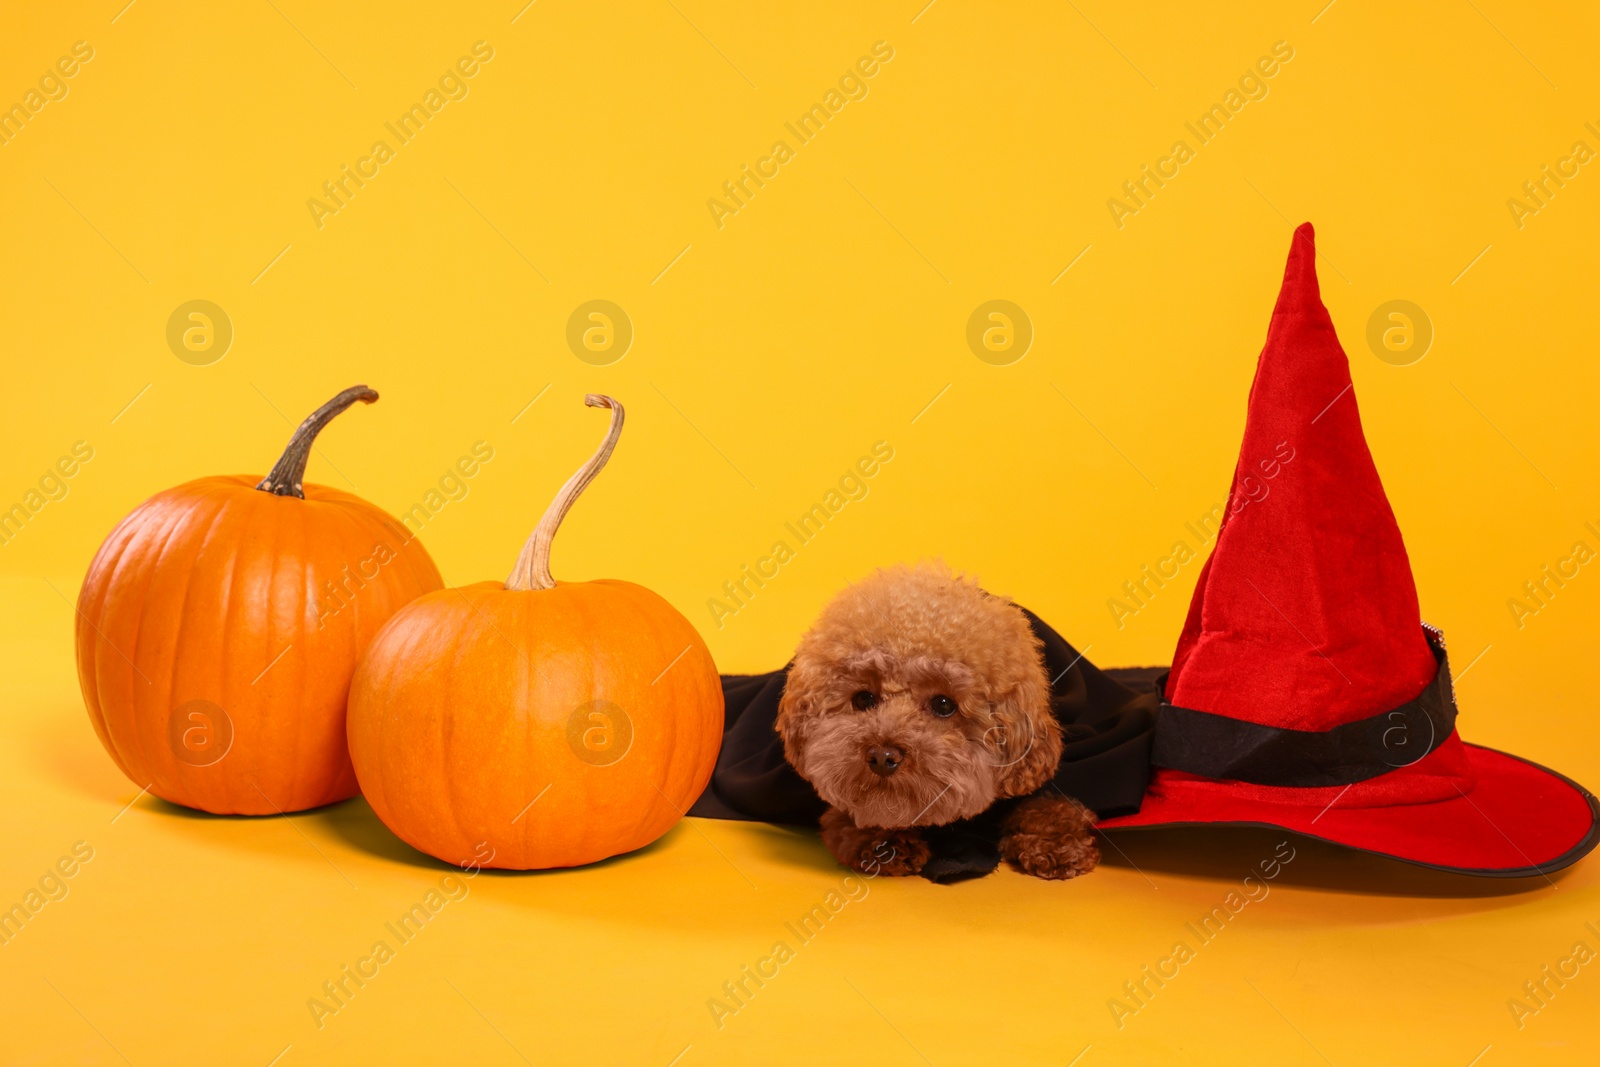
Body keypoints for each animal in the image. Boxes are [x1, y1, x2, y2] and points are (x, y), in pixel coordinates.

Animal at [774, 563, 1100, 883]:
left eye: (944, 705)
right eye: (863, 699)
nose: (882, 756)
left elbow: (1047, 805)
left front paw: (1055, 841)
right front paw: (882, 841)